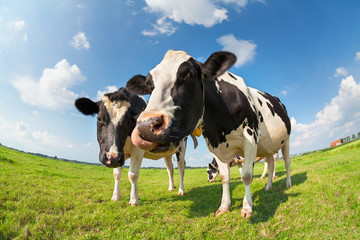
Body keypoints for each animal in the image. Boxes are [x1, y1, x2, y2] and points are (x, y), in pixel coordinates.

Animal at [128, 50, 292, 218]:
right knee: (271, 164)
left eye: (190, 74)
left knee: (286, 162)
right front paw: (224, 206)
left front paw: (247, 208)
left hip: (286, 141)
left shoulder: (250, 139)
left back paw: (288, 184)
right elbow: (225, 177)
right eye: (149, 85)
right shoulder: (216, 145)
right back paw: (268, 186)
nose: (146, 126)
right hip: (268, 148)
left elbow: (246, 176)